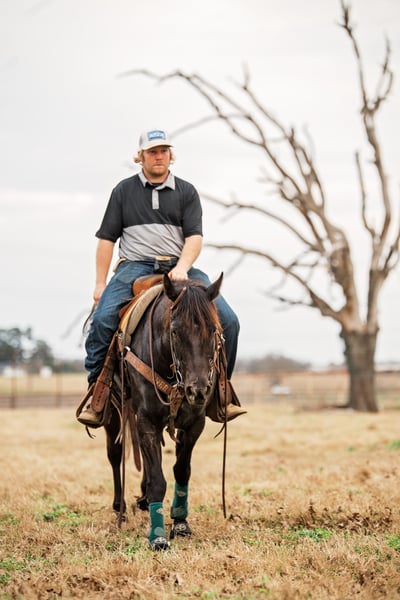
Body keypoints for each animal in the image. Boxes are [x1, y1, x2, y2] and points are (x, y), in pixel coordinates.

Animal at [104, 273, 224, 550]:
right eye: (175, 331)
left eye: (214, 329)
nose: (198, 389)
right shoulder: (146, 420)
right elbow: (158, 479)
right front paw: (157, 536)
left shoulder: (194, 423)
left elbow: (181, 470)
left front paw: (180, 523)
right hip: (114, 410)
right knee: (115, 454)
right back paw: (120, 509)